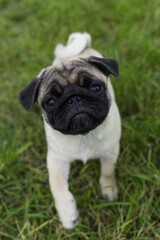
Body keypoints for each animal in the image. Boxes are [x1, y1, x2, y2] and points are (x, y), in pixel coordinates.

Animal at [18, 31, 120, 229]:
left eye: (96, 88)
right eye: (50, 102)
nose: (74, 98)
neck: (83, 135)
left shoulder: (110, 152)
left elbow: (107, 171)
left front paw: (109, 189)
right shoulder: (56, 160)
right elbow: (57, 187)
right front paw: (68, 214)